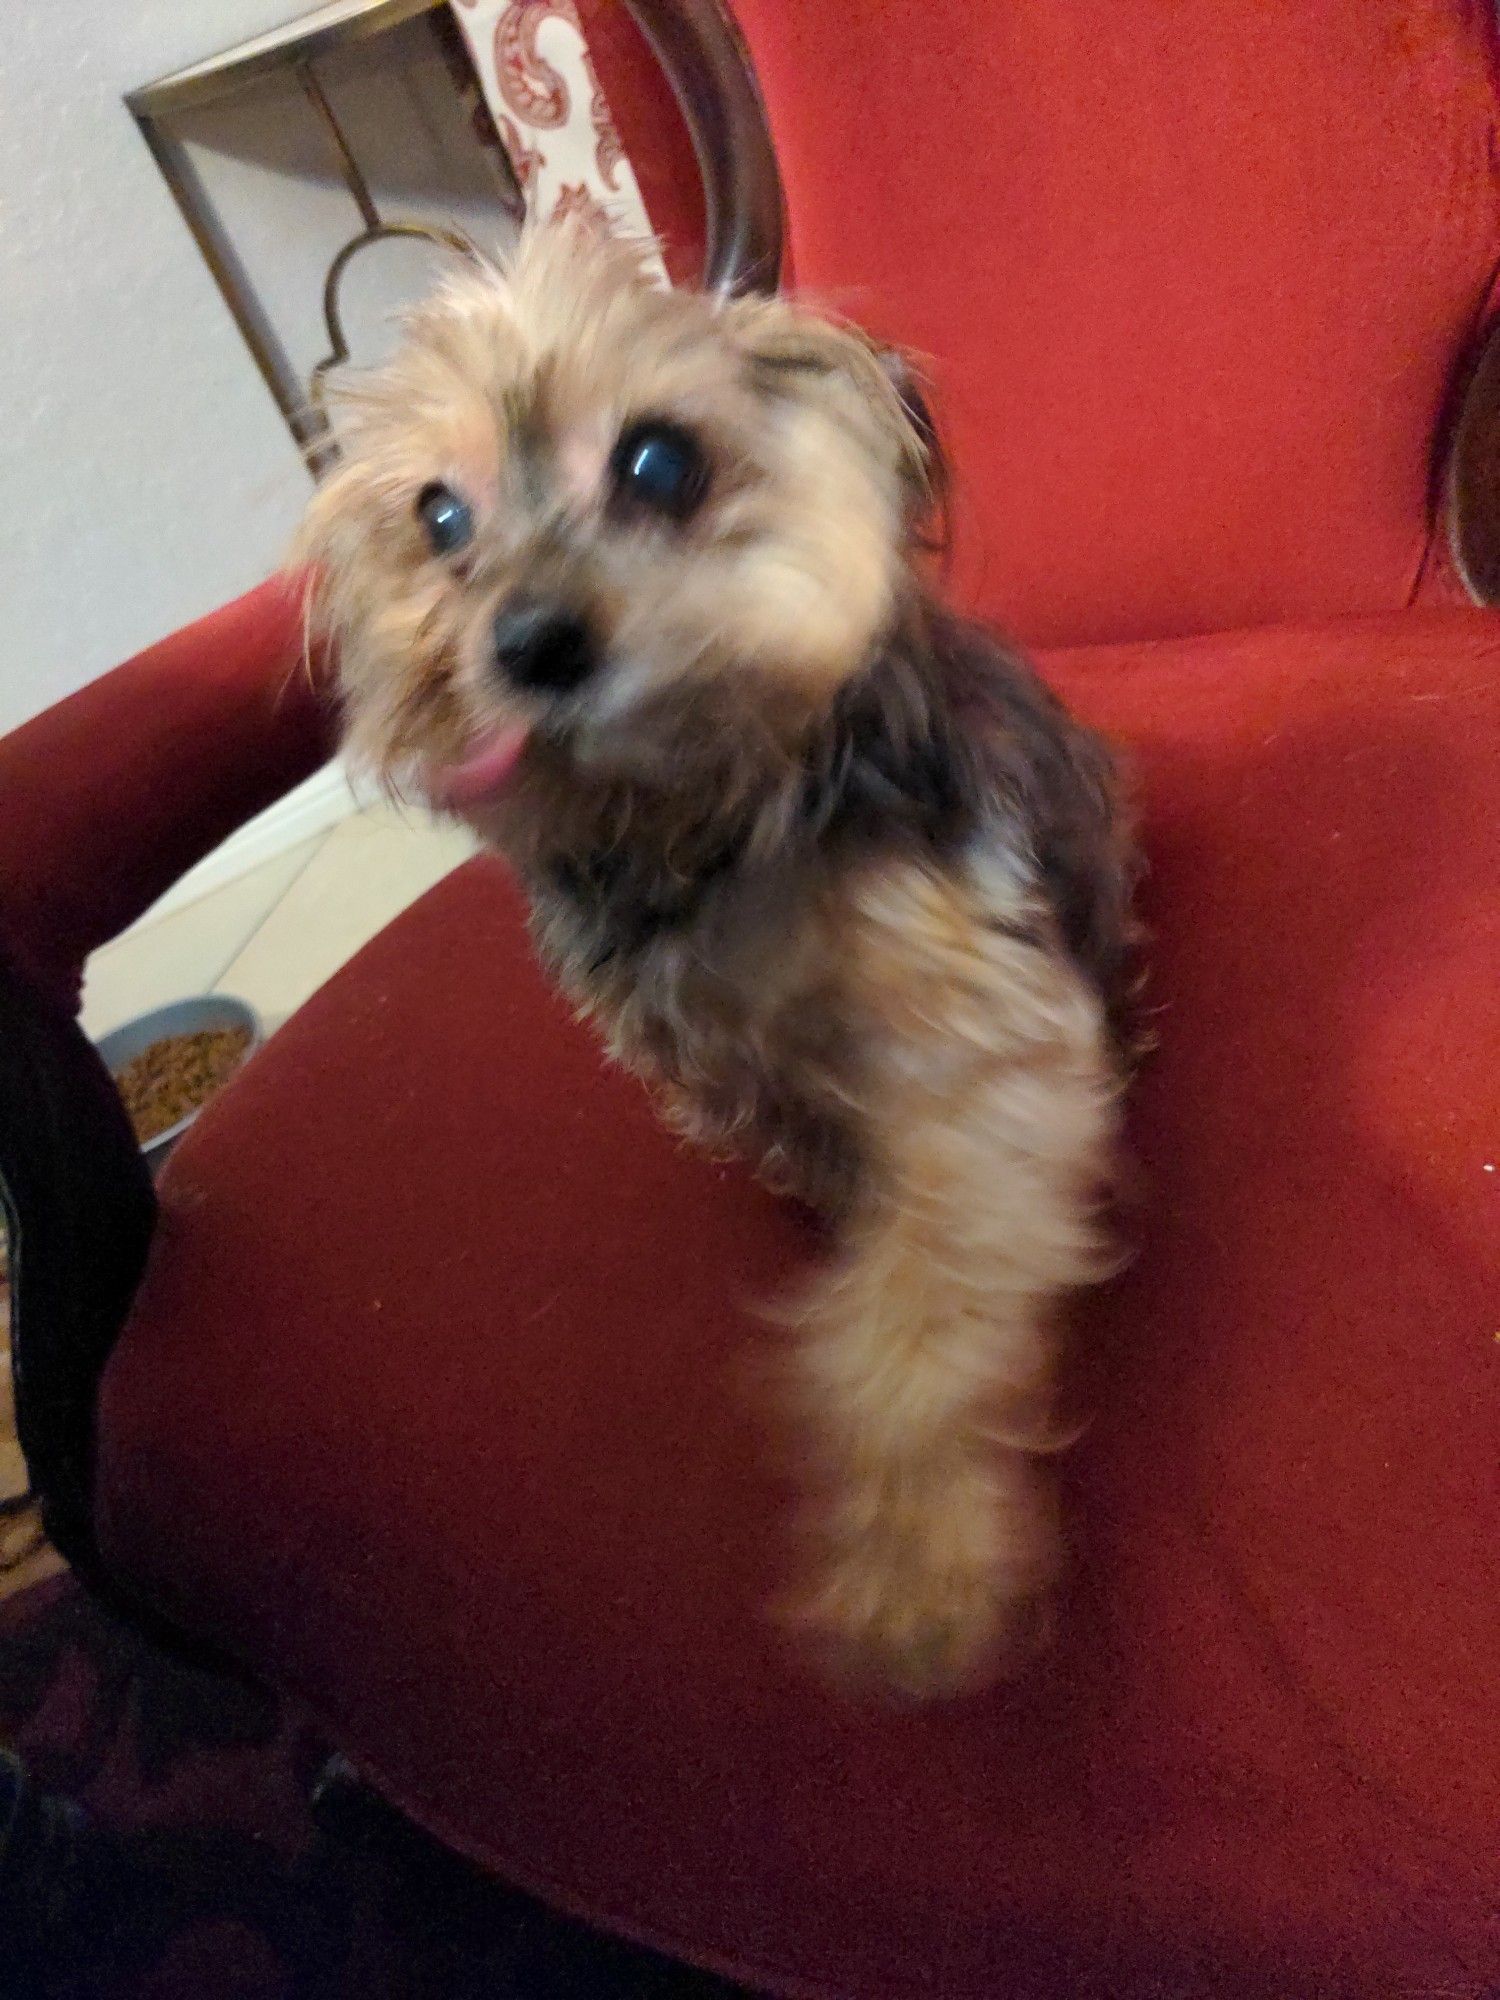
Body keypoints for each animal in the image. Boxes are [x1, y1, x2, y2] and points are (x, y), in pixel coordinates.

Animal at [296, 223, 1136, 1704]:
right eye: (438, 518)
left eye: (659, 461)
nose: (527, 640)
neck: (701, 813)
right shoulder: (687, 1033)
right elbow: (779, 1114)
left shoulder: (977, 1038)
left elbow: (923, 1310)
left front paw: (915, 1558)